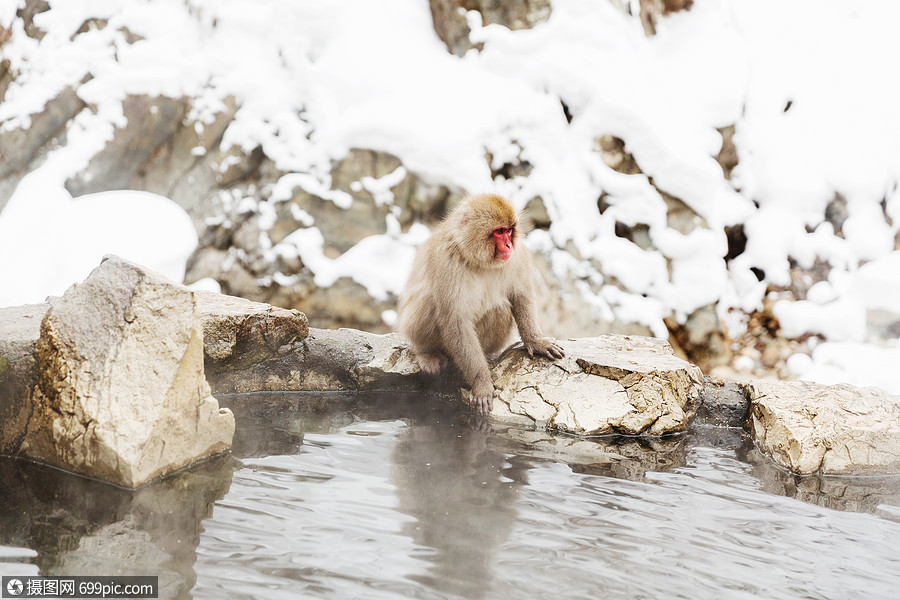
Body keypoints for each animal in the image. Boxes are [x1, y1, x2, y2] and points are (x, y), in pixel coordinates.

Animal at [400, 195, 564, 414]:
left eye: (509, 230)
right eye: (499, 232)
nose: (509, 246)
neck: (477, 259)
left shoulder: (517, 257)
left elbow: (521, 295)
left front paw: (536, 342)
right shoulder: (447, 263)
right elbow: (456, 321)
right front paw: (482, 383)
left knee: (500, 309)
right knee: (428, 300)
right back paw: (427, 352)